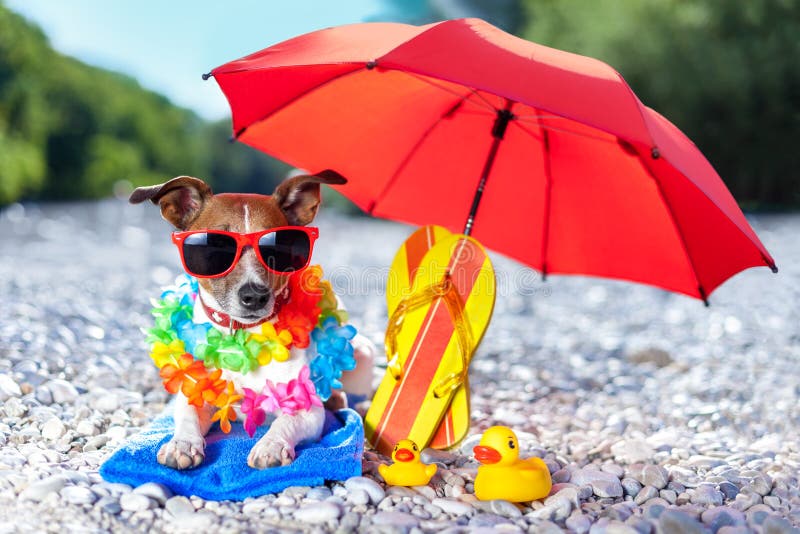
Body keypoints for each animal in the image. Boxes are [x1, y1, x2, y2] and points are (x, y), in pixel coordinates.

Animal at [130, 171, 376, 468]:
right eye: (215, 248)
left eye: (280, 246)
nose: (255, 296)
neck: (242, 336)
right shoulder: (197, 392)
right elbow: (188, 414)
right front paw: (182, 444)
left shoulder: (307, 409)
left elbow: (285, 422)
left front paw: (271, 445)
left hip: (362, 353)